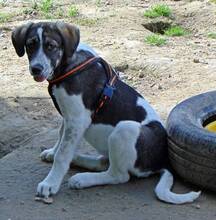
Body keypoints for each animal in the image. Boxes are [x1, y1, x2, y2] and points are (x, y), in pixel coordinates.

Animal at [11, 21, 201, 204]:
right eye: (30, 45)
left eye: (51, 46)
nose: (36, 69)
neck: (67, 65)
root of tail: (163, 161)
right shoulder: (68, 115)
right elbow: (60, 137)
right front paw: (52, 152)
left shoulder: (77, 119)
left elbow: (62, 155)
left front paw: (50, 183)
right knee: (103, 163)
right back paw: (78, 162)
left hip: (125, 129)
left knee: (119, 175)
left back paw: (82, 179)